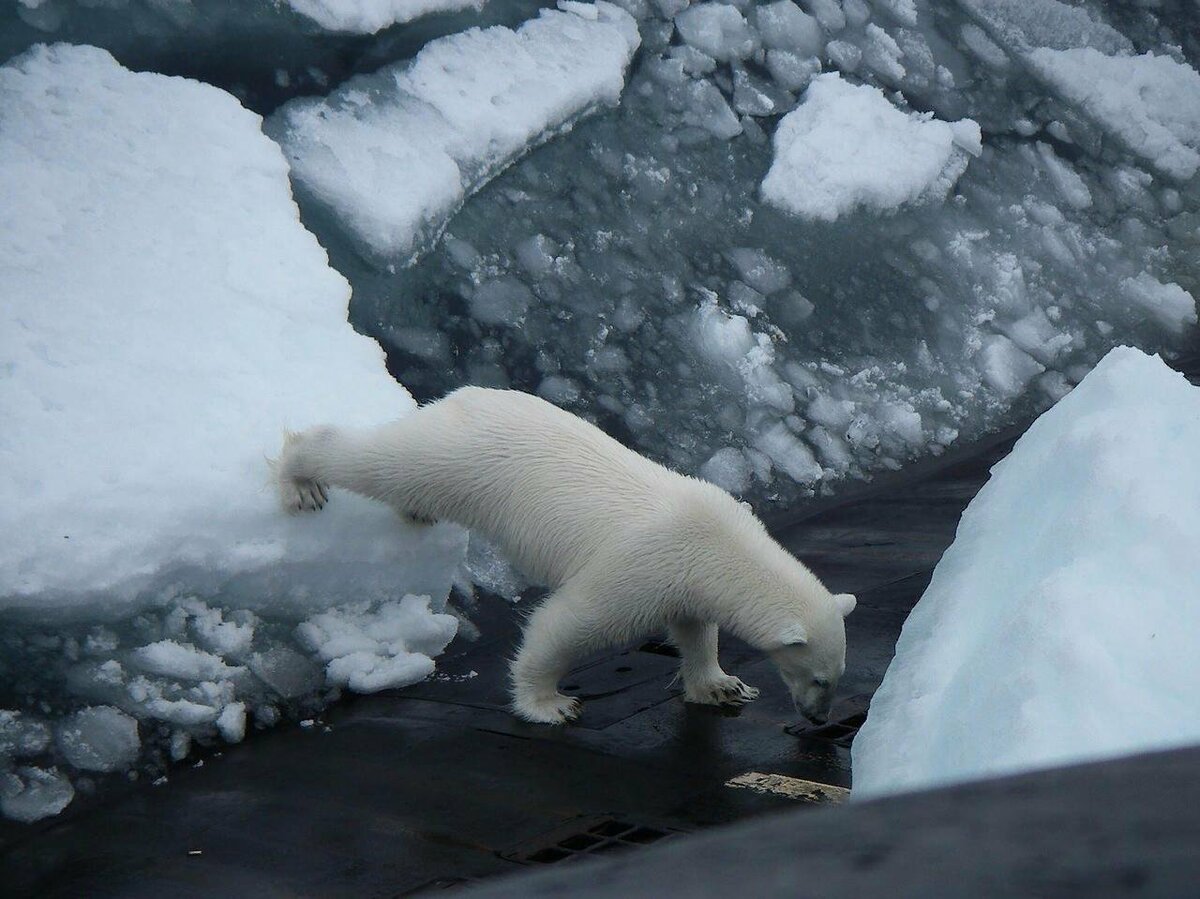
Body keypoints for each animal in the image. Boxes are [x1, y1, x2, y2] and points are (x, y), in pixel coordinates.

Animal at [274, 386, 854, 720]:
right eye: (820, 678)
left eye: (837, 676)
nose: (818, 719)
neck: (717, 543)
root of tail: (460, 396)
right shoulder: (643, 568)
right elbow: (570, 623)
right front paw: (551, 703)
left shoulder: (685, 577)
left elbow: (694, 627)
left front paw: (722, 686)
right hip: (458, 460)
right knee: (383, 462)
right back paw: (301, 478)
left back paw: (413, 512)